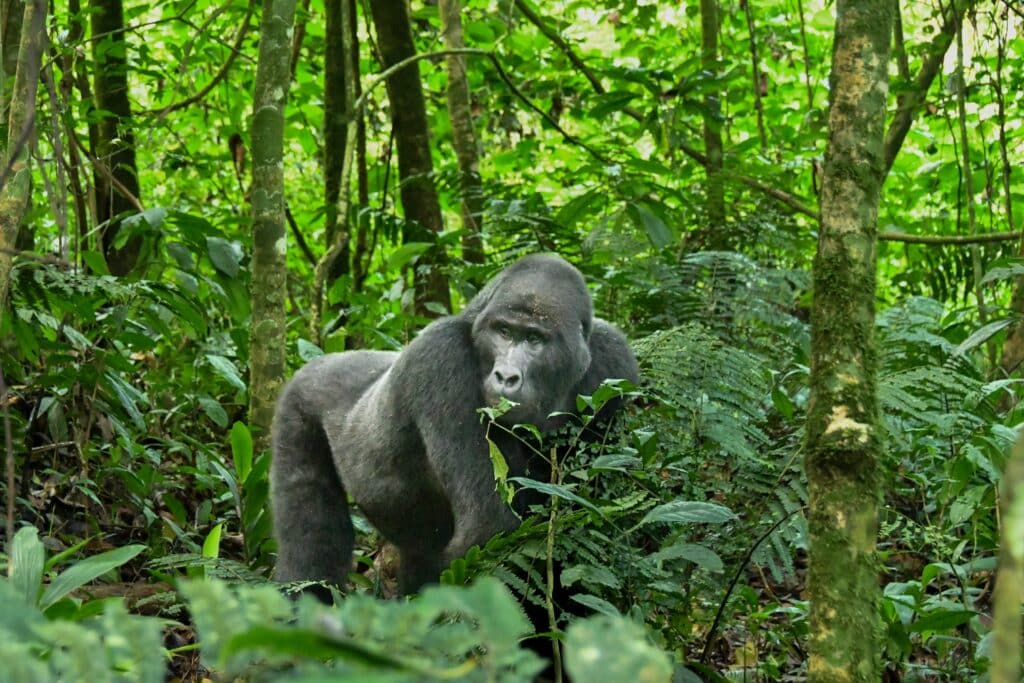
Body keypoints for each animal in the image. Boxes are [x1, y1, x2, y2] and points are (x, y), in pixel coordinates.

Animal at [270, 253, 639, 594]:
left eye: (535, 340)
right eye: (504, 332)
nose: (506, 376)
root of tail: (319, 361)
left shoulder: (615, 362)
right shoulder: (441, 358)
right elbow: (490, 528)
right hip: (295, 406)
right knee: (310, 547)